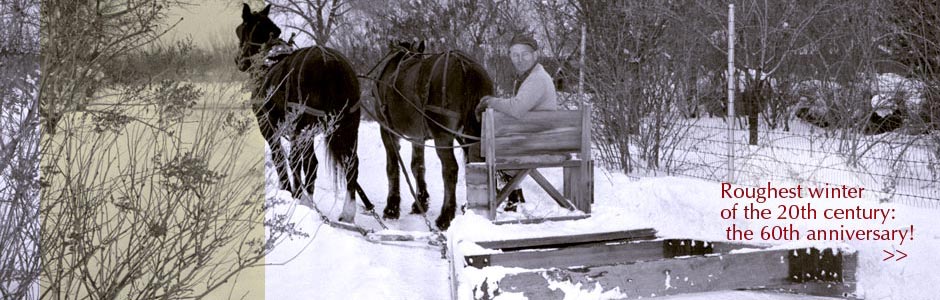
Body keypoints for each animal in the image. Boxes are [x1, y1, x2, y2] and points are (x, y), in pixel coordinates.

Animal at [237, 3, 366, 221]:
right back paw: (346, 212)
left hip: (302, 128)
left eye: (240, 31)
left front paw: (287, 190)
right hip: (346, 127)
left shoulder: (269, 128)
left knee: (296, 161)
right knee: (350, 165)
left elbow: (280, 159)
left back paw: (300, 197)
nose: (238, 61)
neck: (269, 59)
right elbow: (310, 164)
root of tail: (331, 63)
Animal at [372, 40, 496, 230]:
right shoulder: (417, 137)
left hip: (443, 135)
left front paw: (391, 208)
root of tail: (465, 66)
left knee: (450, 169)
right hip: (473, 131)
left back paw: (445, 216)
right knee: (476, 164)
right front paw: (420, 203)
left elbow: (392, 167)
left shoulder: (387, 131)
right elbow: (418, 166)